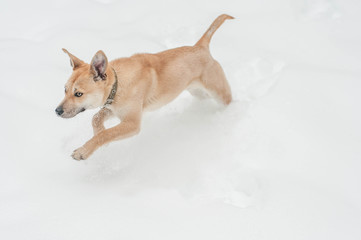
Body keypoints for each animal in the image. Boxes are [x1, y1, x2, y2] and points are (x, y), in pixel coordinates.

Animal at [54, 13, 232, 159]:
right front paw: (99, 134)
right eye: (65, 90)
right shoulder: (115, 109)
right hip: (197, 91)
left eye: (78, 94)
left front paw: (84, 150)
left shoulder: (132, 123)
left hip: (219, 92)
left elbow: (107, 134)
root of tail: (200, 47)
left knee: (228, 100)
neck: (118, 84)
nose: (57, 111)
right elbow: (96, 119)